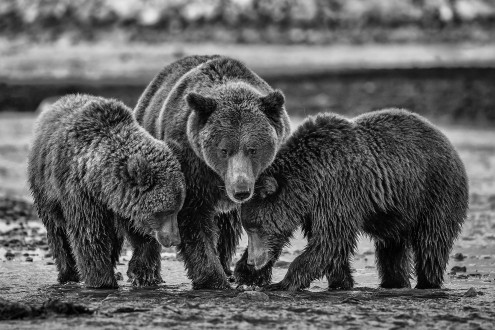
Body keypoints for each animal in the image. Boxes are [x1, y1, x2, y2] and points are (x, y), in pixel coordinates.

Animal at [29, 94, 188, 288]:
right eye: (165, 211)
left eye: (178, 209)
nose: (175, 240)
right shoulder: (80, 192)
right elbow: (90, 234)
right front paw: (102, 280)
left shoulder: (125, 205)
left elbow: (140, 235)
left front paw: (143, 274)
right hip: (47, 191)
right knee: (58, 232)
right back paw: (68, 273)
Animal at [134, 54, 292, 288]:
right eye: (224, 149)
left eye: (253, 149)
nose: (241, 191)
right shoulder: (192, 166)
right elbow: (194, 220)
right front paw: (212, 278)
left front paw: (250, 272)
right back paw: (146, 274)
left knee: (227, 227)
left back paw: (226, 265)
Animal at [236, 109, 468, 292]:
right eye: (247, 227)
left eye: (255, 227)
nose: (253, 261)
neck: (310, 182)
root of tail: (448, 142)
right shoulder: (314, 207)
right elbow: (326, 244)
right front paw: (245, 273)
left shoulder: (338, 191)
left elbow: (330, 240)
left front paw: (282, 283)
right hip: (396, 212)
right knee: (392, 249)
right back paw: (393, 282)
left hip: (433, 192)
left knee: (431, 242)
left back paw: (427, 282)